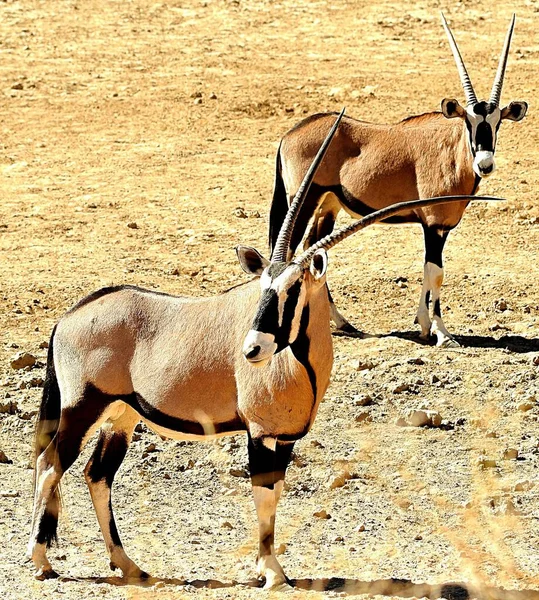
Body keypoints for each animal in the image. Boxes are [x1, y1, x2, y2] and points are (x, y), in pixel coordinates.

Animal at [28, 110, 502, 588]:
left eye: (292, 290)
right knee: (51, 464)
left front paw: (270, 566)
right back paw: (42, 561)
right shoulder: (259, 433)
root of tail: (69, 317)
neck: (302, 364)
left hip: (121, 415)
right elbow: (261, 495)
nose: (252, 349)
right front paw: (271, 571)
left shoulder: (286, 438)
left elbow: (274, 494)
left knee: (97, 474)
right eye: (263, 288)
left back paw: (128, 565)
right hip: (82, 407)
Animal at [268, 14, 528, 346]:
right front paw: (441, 333)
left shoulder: (440, 228)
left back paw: (341, 322)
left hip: (328, 205)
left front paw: (425, 326)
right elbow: (436, 272)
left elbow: (429, 271)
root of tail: (290, 134)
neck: (449, 151)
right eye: (468, 122)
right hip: (304, 199)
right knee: (289, 250)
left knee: (313, 249)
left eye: (497, 124)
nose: (485, 164)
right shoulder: (433, 225)